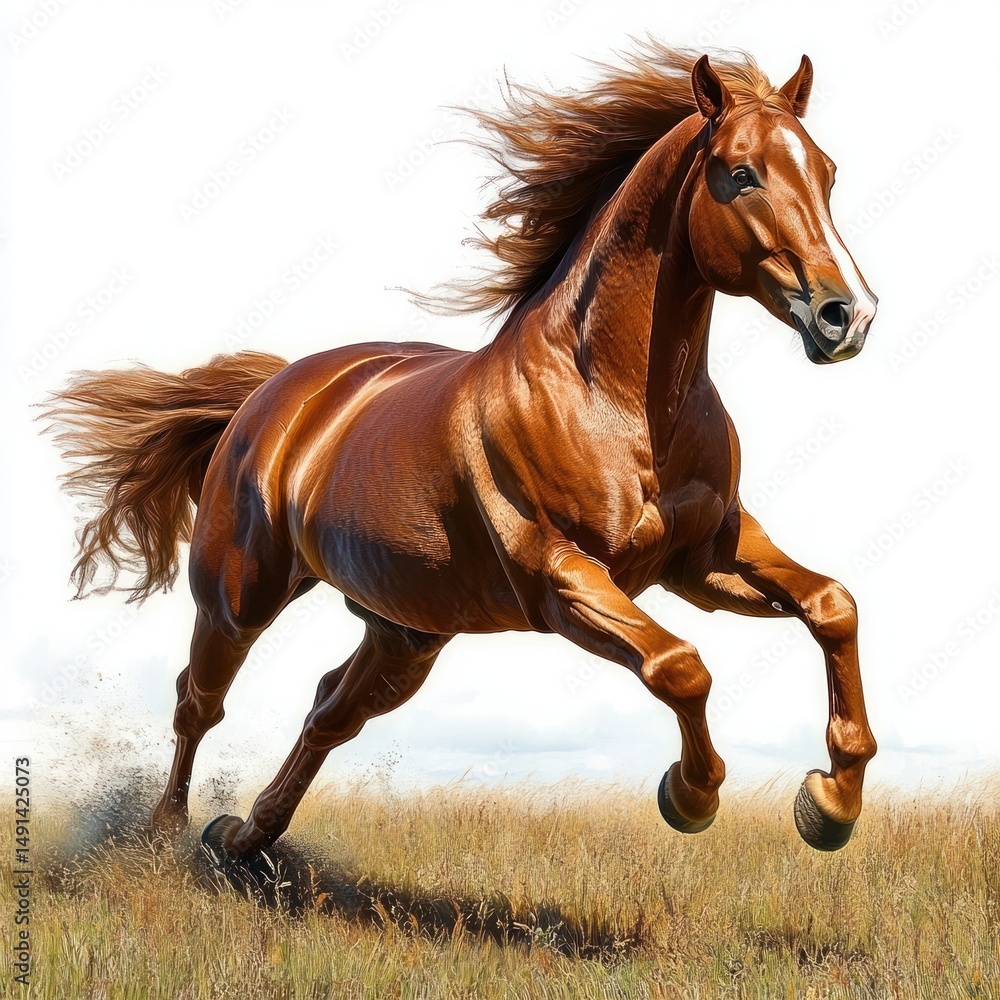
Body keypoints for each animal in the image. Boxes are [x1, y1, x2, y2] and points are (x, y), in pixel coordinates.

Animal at [46, 43, 878, 871]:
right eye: (740, 173)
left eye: (828, 172)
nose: (847, 316)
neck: (617, 401)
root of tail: (272, 395)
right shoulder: (562, 579)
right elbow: (680, 666)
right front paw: (690, 796)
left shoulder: (703, 558)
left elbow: (833, 605)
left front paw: (830, 804)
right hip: (237, 596)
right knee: (199, 701)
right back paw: (166, 837)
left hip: (406, 632)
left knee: (328, 712)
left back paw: (242, 838)